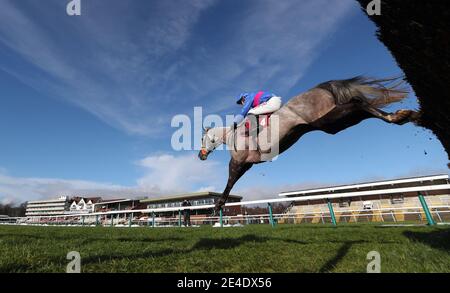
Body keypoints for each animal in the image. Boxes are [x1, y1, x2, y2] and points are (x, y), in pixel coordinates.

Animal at [199, 76, 420, 211]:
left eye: (202, 139)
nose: (200, 155)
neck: (232, 135)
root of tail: (322, 87)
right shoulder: (248, 164)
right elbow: (233, 181)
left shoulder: (238, 162)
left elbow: (230, 181)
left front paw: (218, 205)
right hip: (331, 123)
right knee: (361, 105)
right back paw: (402, 116)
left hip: (326, 121)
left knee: (357, 102)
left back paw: (398, 116)